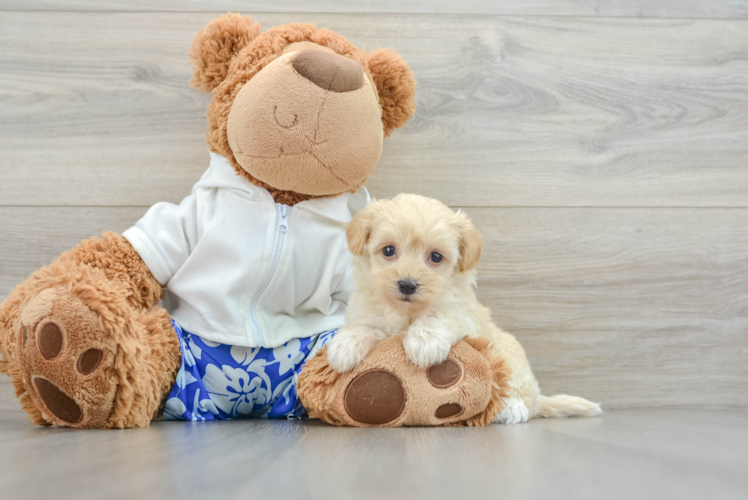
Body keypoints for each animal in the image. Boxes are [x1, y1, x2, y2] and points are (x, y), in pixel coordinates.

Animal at [328, 193, 600, 424]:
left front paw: (424, 342)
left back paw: (510, 408)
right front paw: (344, 346)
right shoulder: (368, 311)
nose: (407, 284)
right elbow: (364, 326)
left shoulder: (461, 314)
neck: (406, 313)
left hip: (509, 358)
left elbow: (438, 317)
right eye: (388, 250)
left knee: (520, 396)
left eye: (436, 257)